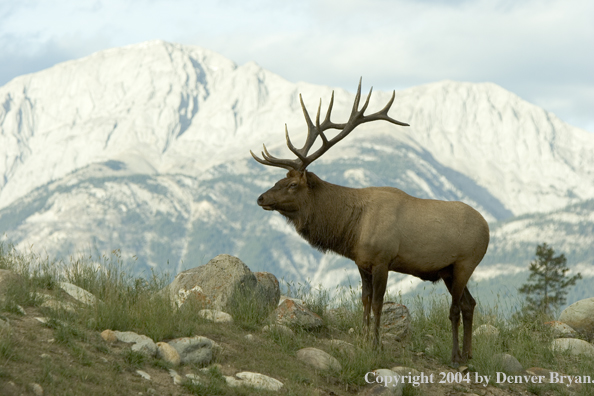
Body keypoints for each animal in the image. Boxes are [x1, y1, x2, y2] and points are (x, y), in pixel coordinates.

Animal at [250, 79, 486, 366]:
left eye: (293, 184)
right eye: (280, 180)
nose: (261, 197)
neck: (352, 229)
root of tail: (488, 228)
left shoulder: (383, 259)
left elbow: (377, 302)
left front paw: (375, 344)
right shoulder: (362, 261)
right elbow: (364, 300)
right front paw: (363, 339)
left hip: (465, 262)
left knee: (454, 308)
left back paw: (454, 356)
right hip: (448, 271)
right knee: (469, 304)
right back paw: (468, 354)